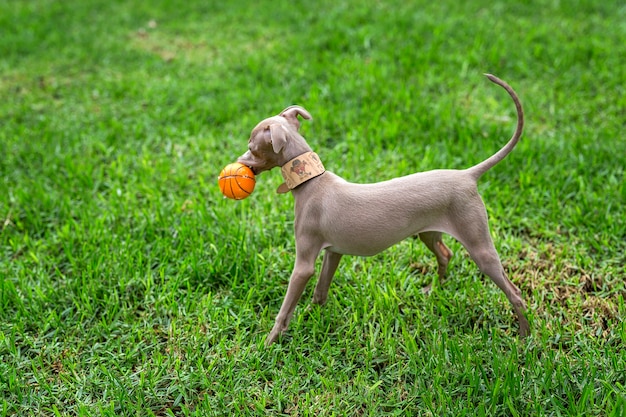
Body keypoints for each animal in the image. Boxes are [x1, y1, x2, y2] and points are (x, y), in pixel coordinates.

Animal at [239, 72, 528, 344]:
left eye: (252, 148)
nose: (240, 162)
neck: (311, 180)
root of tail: (467, 175)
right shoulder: (334, 252)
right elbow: (320, 291)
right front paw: (313, 316)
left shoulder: (304, 264)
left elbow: (286, 308)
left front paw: (268, 342)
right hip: (429, 232)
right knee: (445, 254)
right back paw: (437, 289)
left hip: (478, 243)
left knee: (515, 293)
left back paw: (524, 336)